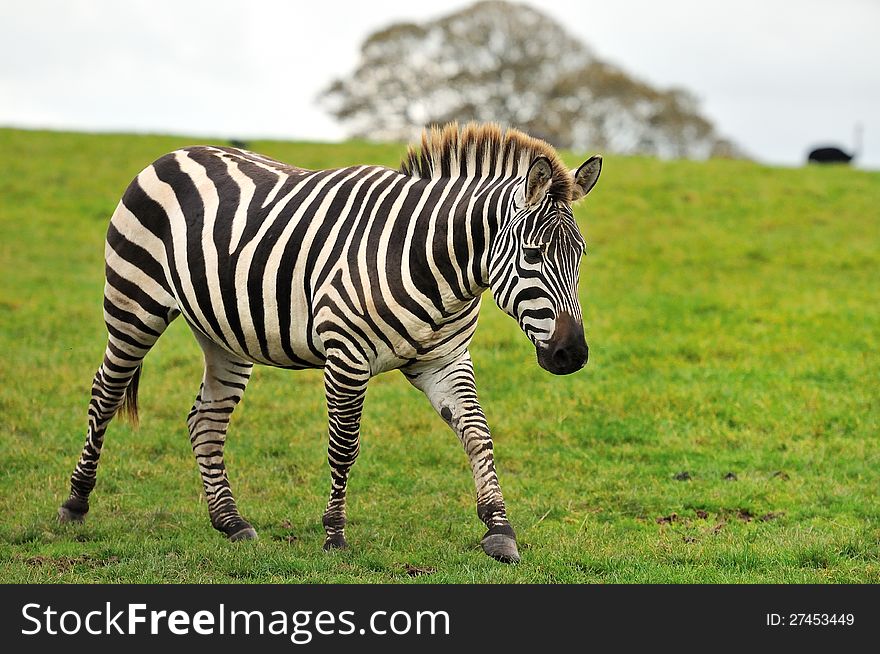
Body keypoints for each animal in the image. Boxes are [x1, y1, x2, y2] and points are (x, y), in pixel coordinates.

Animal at [58, 121, 600, 564]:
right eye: (532, 253)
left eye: (580, 255)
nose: (572, 356)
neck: (434, 262)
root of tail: (175, 152)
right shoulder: (346, 355)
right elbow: (345, 447)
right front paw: (334, 535)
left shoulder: (445, 358)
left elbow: (477, 434)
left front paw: (499, 531)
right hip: (134, 304)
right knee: (105, 394)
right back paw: (75, 504)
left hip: (223, 333)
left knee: (205, 420)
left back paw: (231, 522)